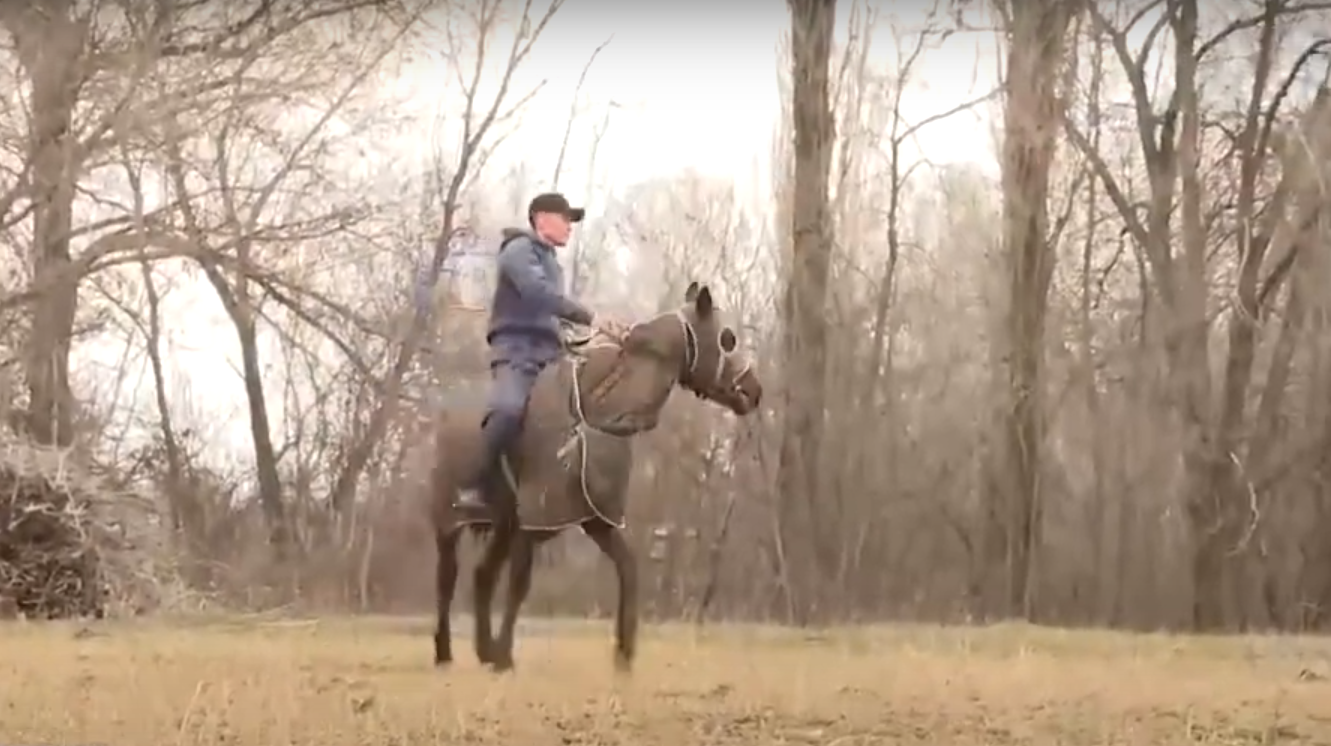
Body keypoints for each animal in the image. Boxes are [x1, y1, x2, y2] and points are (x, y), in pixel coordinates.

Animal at [423, 282, 761, 674]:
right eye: (727, 338)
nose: (754, 390)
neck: (592, 411)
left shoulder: (597, 520)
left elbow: (628, 569)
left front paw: (624, 654)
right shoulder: (535, 521)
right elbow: (519, 584)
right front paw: (506, 656)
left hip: (503, 524)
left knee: (482, 576)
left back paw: (484, 651)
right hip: (450, 523)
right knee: (446, 581)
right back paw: (445, 653)